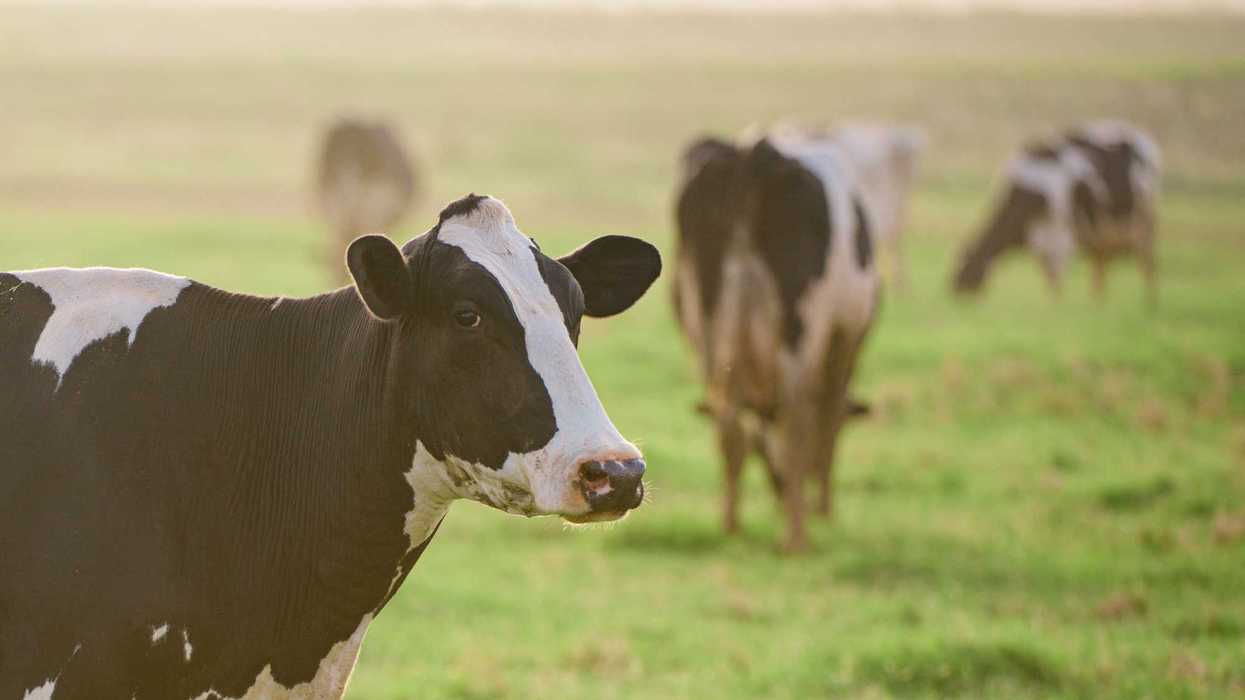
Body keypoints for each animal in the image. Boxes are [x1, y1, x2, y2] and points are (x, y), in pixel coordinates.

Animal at [672, 129, 881, 552]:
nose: (780, 489)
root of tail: (756, 155)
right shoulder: (846, 339)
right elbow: (828, 424)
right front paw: (824, 510)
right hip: (800, 328)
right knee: (795, 419)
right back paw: (796, 539)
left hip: (709, 330)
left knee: (729, 425)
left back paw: (731, 526)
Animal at [952, 121, 1161, 305]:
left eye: (965, 265)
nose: (952, 290)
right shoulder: (1041, 238)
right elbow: (1049, 273)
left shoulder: (1060, 233)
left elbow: (1056, 275)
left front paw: (1054, 307)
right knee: (1103, 261)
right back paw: (1098, 302)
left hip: (1144, 220)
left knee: (1147, 261)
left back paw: (1149, 303)